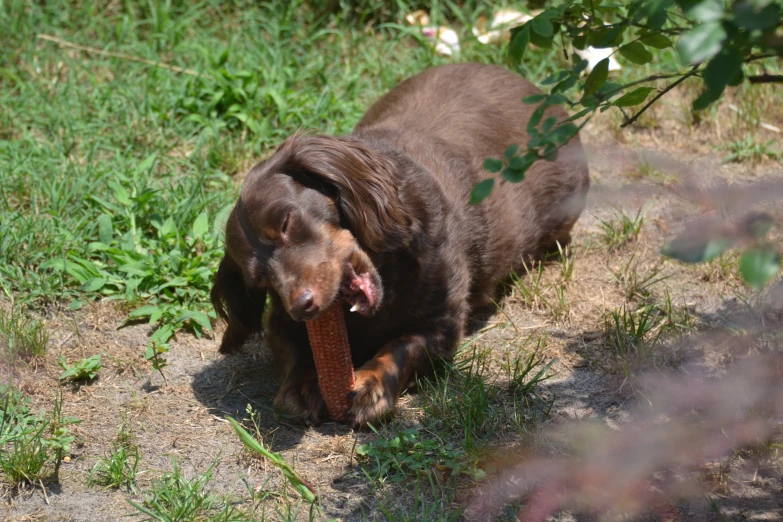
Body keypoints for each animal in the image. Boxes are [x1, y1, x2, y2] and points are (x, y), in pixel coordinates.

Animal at [208, 62, 588, 426]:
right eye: (260, 280)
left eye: (286, 222)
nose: (303, 307)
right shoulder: (281, 325)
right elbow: (297, 350)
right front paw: (302, 387)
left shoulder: (442, 325)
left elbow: (400, 346)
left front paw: (372, 385)